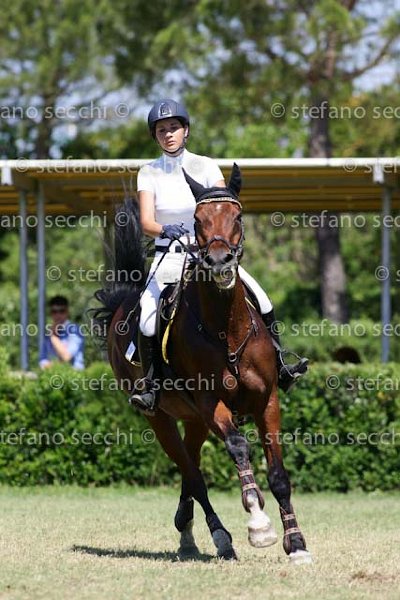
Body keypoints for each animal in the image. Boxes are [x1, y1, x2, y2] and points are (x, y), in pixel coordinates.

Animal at [93, 163, 312, 564]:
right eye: (197, 220)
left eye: (237, 216)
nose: (220, 262)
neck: (226, 329)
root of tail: (123, 301)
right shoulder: (213, 404)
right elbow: (238, 447)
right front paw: (259, 525)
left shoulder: (267, 400)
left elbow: (278, 475)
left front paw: (297, 544)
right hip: (160, 418)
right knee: (193, 475)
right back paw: (221, 537)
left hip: (193, 419)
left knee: (190, 468)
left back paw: (188, 532)